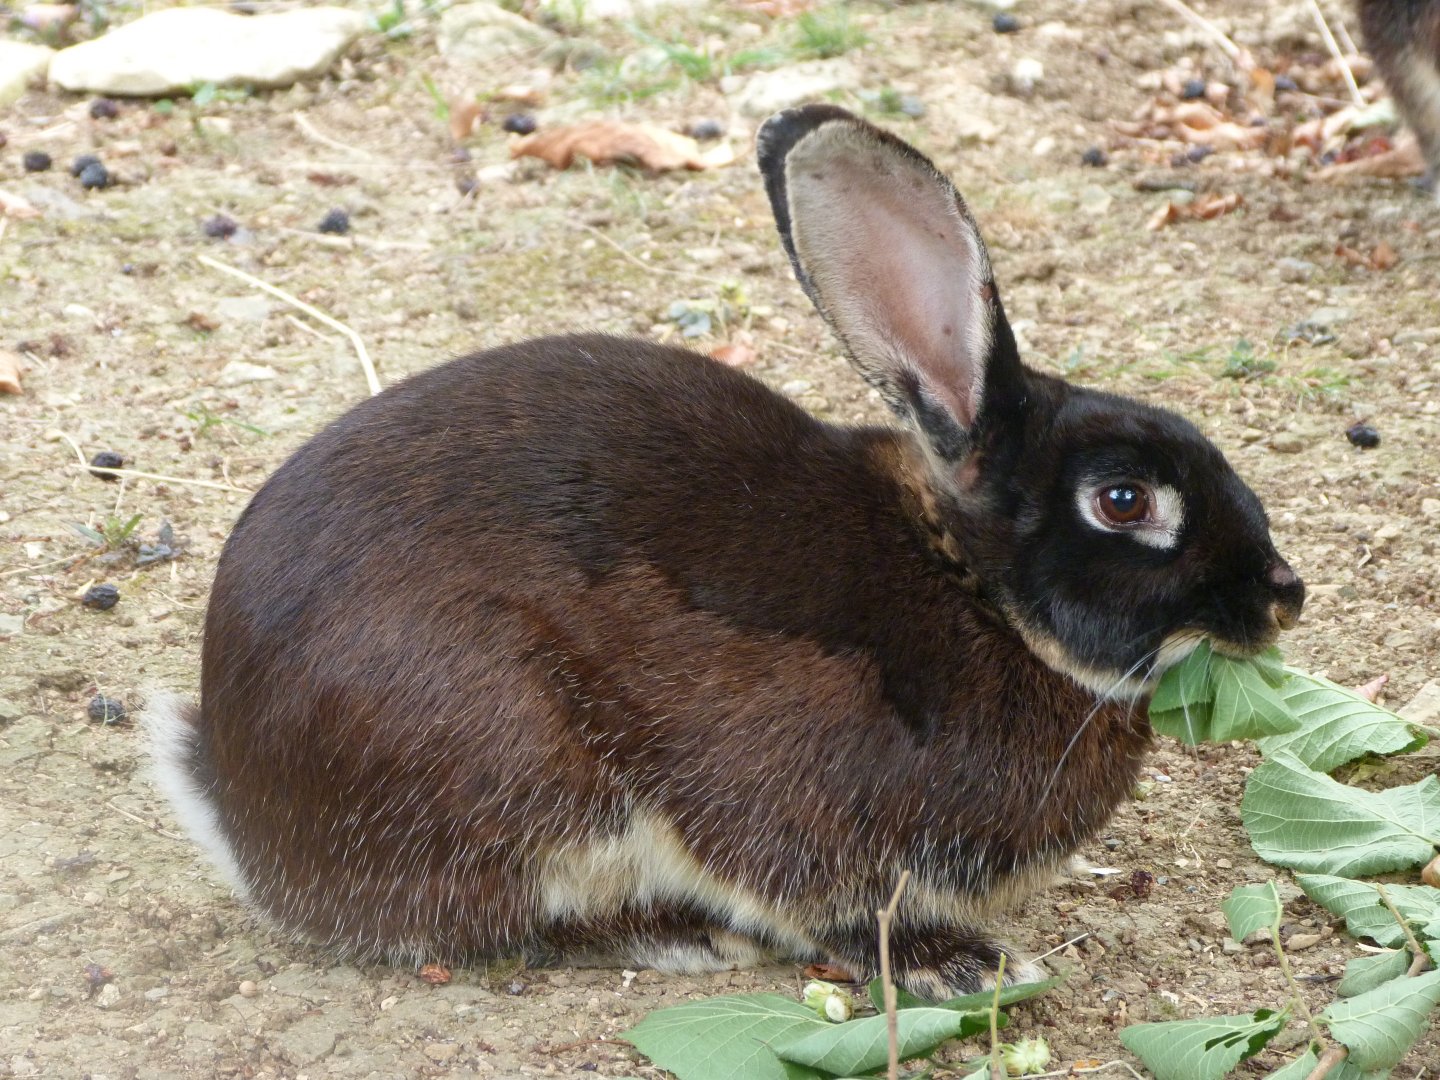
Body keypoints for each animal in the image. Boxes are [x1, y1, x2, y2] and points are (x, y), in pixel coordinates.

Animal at [146, 104, 1306, 1000]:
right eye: (1124, 501)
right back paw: (680, 936)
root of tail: (239, 806)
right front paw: (954, 962)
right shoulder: (790, 794)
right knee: (492, 918)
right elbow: (816, 892)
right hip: (513, 765)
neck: (973, 587)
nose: (1283, 597)